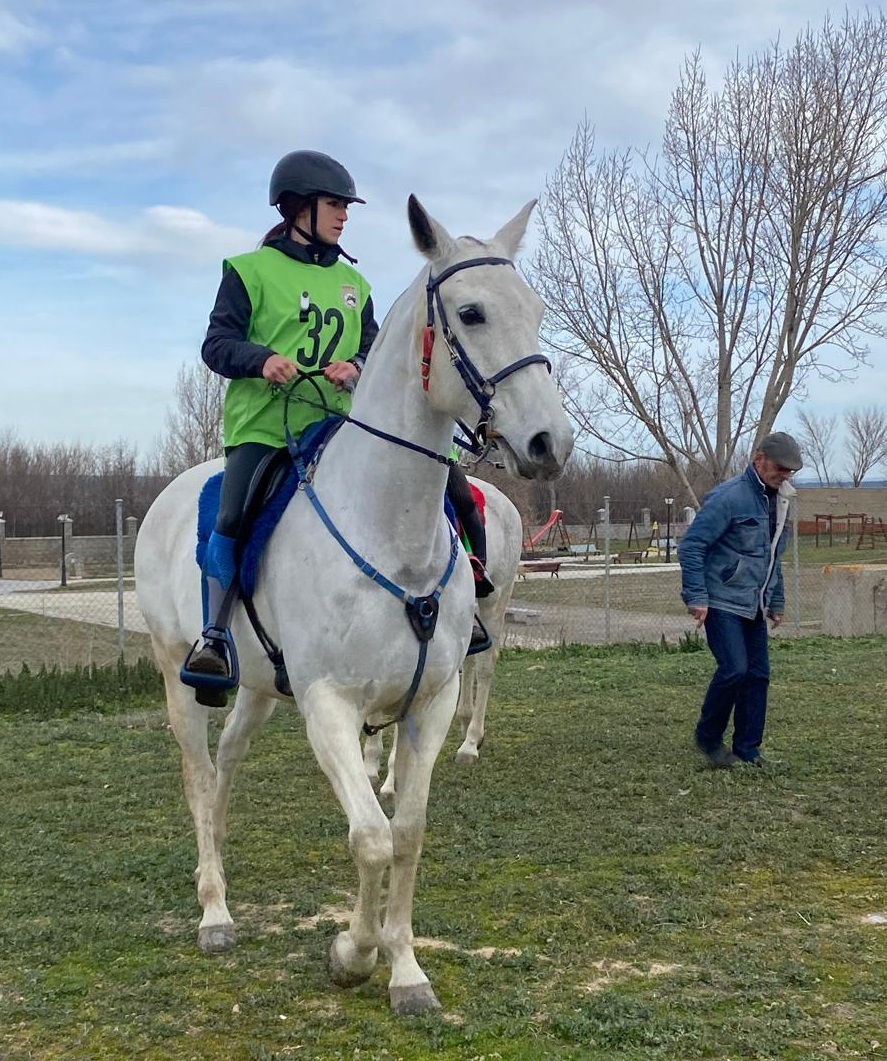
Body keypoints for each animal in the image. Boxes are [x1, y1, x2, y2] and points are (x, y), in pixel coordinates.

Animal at [362, 475, 524, 797]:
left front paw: (391, 780)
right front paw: (370, 766)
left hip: (496, 600)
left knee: (485, 666)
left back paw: (471, 742)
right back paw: (465, 721)